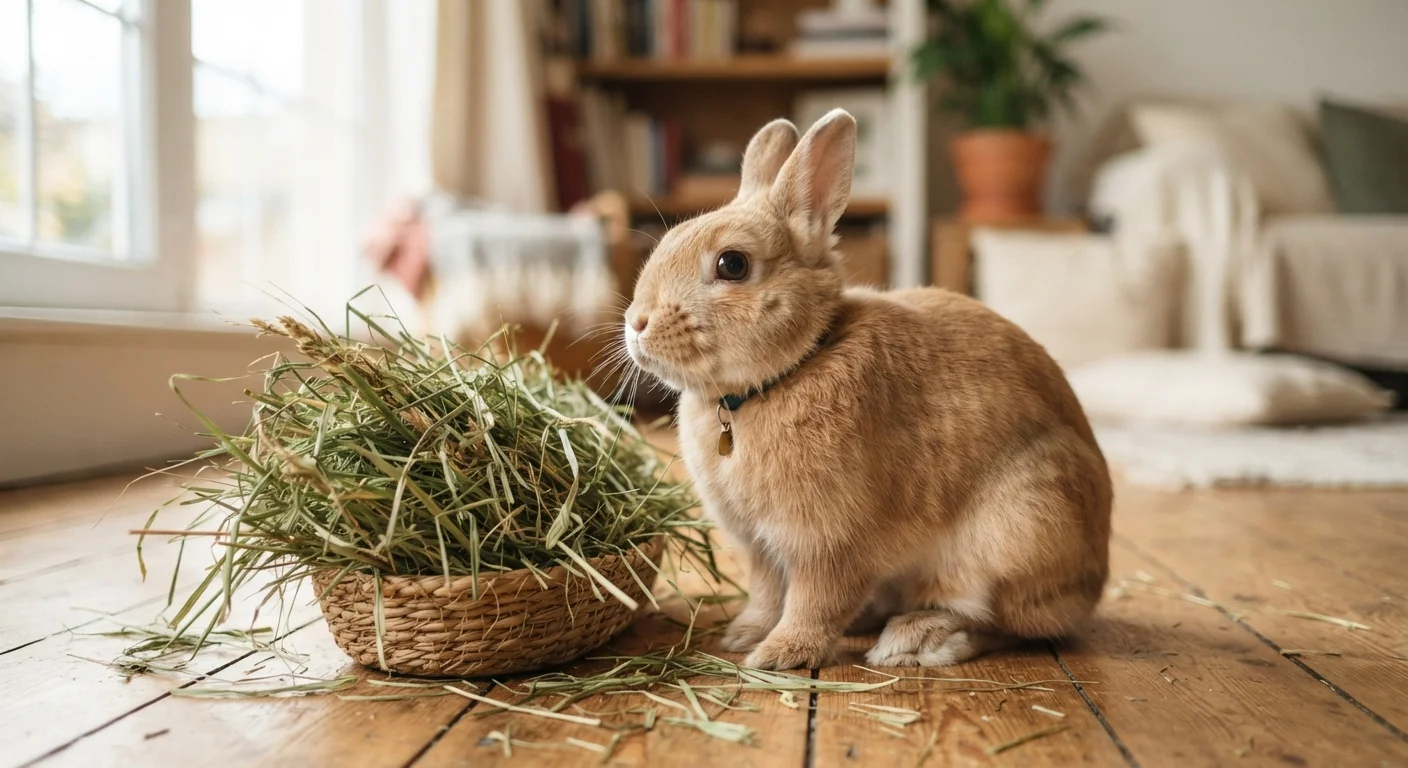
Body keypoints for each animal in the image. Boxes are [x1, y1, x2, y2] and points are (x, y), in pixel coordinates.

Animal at [622, 109, 1112, 671]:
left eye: (733, 264)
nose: (636, 323)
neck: (791, 369)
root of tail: (1094, 579)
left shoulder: (829, 543)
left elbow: (813, 602)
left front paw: (778, 656)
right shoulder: (761, 548)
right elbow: (766, 593)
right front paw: (743, 636)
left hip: (1018, 534)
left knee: (1011, 624)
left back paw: (917, 639)